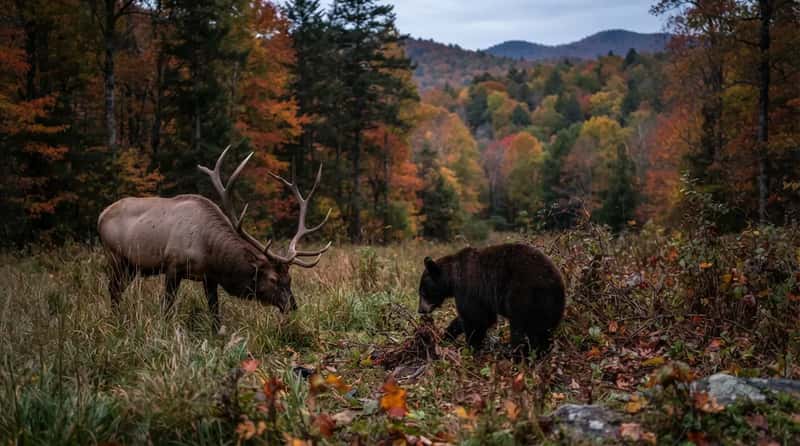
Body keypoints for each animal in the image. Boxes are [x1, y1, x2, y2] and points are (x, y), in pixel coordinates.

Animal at [97, 146, 331, 327]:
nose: (293, 306)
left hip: (131, 266)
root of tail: (100, 217)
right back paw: (116, 321)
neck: (209, 252)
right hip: (114, 257)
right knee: (113, 290)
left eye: (290, 279)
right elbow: (167, 305)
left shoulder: (209, 276)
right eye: (273, 279)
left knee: (117, 290)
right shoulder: (173, 265)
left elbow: (214, 310)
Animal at [417, 243, 565, 358]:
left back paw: (515, 354)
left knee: (519, 327)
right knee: (542, 331)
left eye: (423, 292)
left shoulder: (469, 286)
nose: (420, 310)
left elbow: (476, 318)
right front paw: (446, 336)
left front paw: (470, 348)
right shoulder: (480, 296)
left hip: (523, 295)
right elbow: (474, 316)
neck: (452, 278)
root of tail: (556, 282)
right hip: (549, 306)